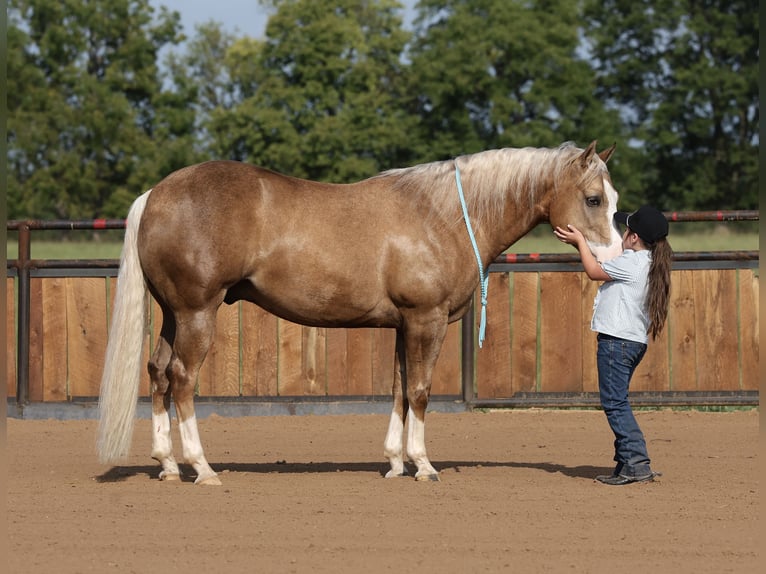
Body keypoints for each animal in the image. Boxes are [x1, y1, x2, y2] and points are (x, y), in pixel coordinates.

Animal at [97, 140, 622, 485]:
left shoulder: (405, 324)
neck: (444, 215)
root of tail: (155, 195)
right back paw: (202, 468)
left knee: (158, 374)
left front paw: (394, 463)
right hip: (197, 313)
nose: (616, 256)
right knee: (182, 379)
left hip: (173, 314)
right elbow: (421, 391)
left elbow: (399, 389)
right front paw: (423, 466)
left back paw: (167, 465)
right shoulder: (427, 320)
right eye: (593, 198)